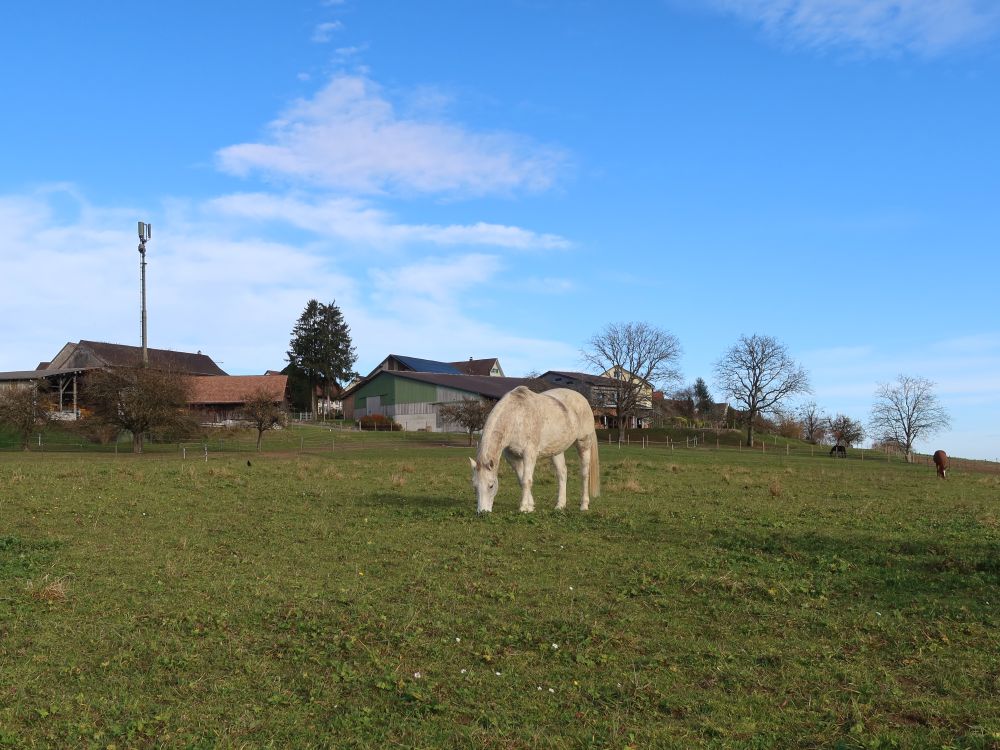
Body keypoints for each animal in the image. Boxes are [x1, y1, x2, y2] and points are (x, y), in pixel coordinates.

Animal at [469, 386, 600, 513]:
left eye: (491, 485)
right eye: (474, 486)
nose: (483, 511)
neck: (516, 416)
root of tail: (583, 399)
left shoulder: (529, 454)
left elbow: (526, 480)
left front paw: (523, 508)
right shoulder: (513, 458)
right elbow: (521, 480)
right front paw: (530, 506)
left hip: (583, 444)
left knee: (584, 474)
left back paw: (584, 505)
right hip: (556, 451)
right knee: (562, 473)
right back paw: (560, 505)